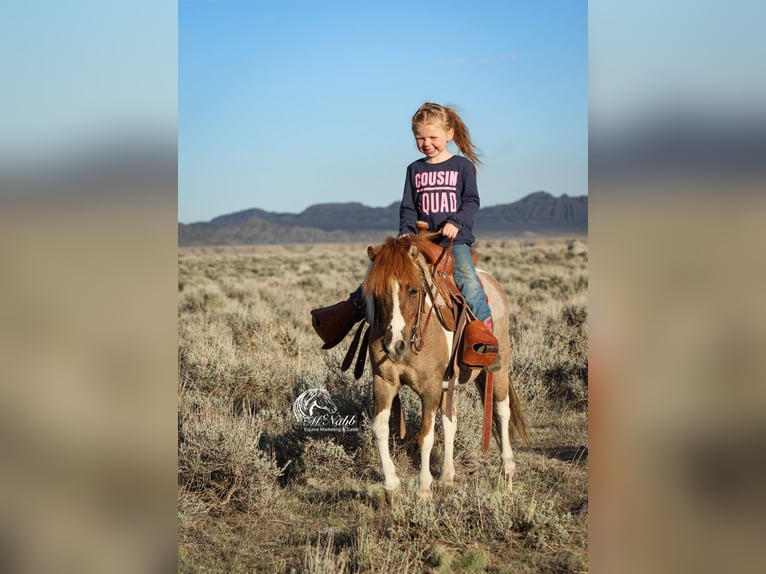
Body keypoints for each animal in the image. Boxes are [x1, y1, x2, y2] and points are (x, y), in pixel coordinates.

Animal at [363, 234, 527, 499]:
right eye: (378, 292)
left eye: (413, 290)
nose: (395, 345)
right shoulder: (384, 382)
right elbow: (380, 429)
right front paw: (391, 485)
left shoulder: (429, 387)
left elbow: (425, 437)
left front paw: (423, 489)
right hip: (448, 385)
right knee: (451, 422)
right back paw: (447, 476)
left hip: (499, 370)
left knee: (502, 410)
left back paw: (508, 471)